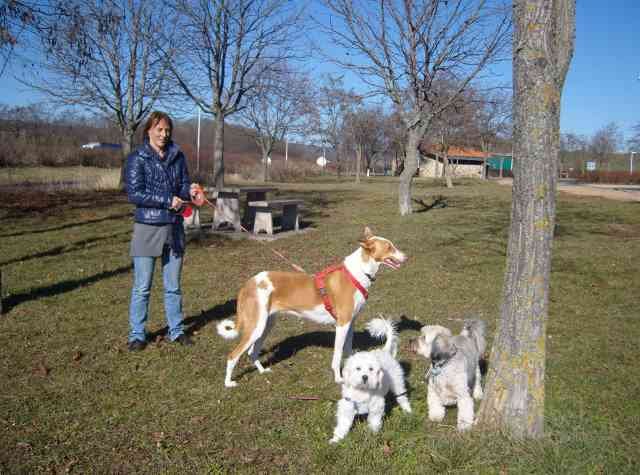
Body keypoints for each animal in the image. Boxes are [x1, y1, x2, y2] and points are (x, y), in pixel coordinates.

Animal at [215, 227, 404, 386]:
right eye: (389, 247)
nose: (406, 257)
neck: (356, 274)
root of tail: (248, 284)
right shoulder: (342, 325)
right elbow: (337, 356)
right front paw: (339, 379)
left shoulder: (351, 323)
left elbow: (348, 351)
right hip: (256, 327)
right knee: (233, 355)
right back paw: (228, 383)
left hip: (265, 325)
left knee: (251, 352)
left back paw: (263, 371)